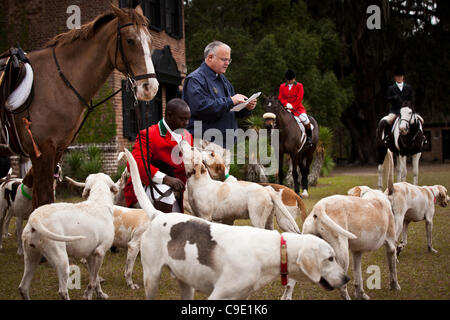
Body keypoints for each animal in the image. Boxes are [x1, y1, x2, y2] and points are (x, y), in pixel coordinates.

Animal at [1, 6, 158, 210]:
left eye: (150, 40)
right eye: (130, 40)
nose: (151, 87)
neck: (58, 81)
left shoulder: (56, 151)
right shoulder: (43, 151)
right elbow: (44, 200)